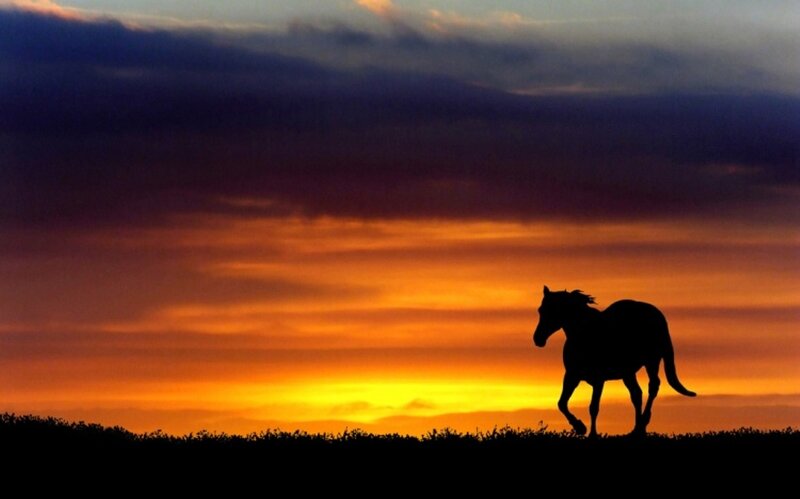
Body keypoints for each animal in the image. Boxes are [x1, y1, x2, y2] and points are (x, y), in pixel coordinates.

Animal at [532, 286, 695, 436]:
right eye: (541, 310)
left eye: (554, 310)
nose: (538, 339)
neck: (584, 334)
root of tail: (657, 314)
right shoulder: (572, 376)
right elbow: (561, 403)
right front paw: (580, 427)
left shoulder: (598, 380)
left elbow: (593, 407)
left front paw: (592, 434)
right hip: (628, 372)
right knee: (637, 394)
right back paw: (636, 430)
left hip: (652, 361)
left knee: (653, 386)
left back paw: (643, 423)